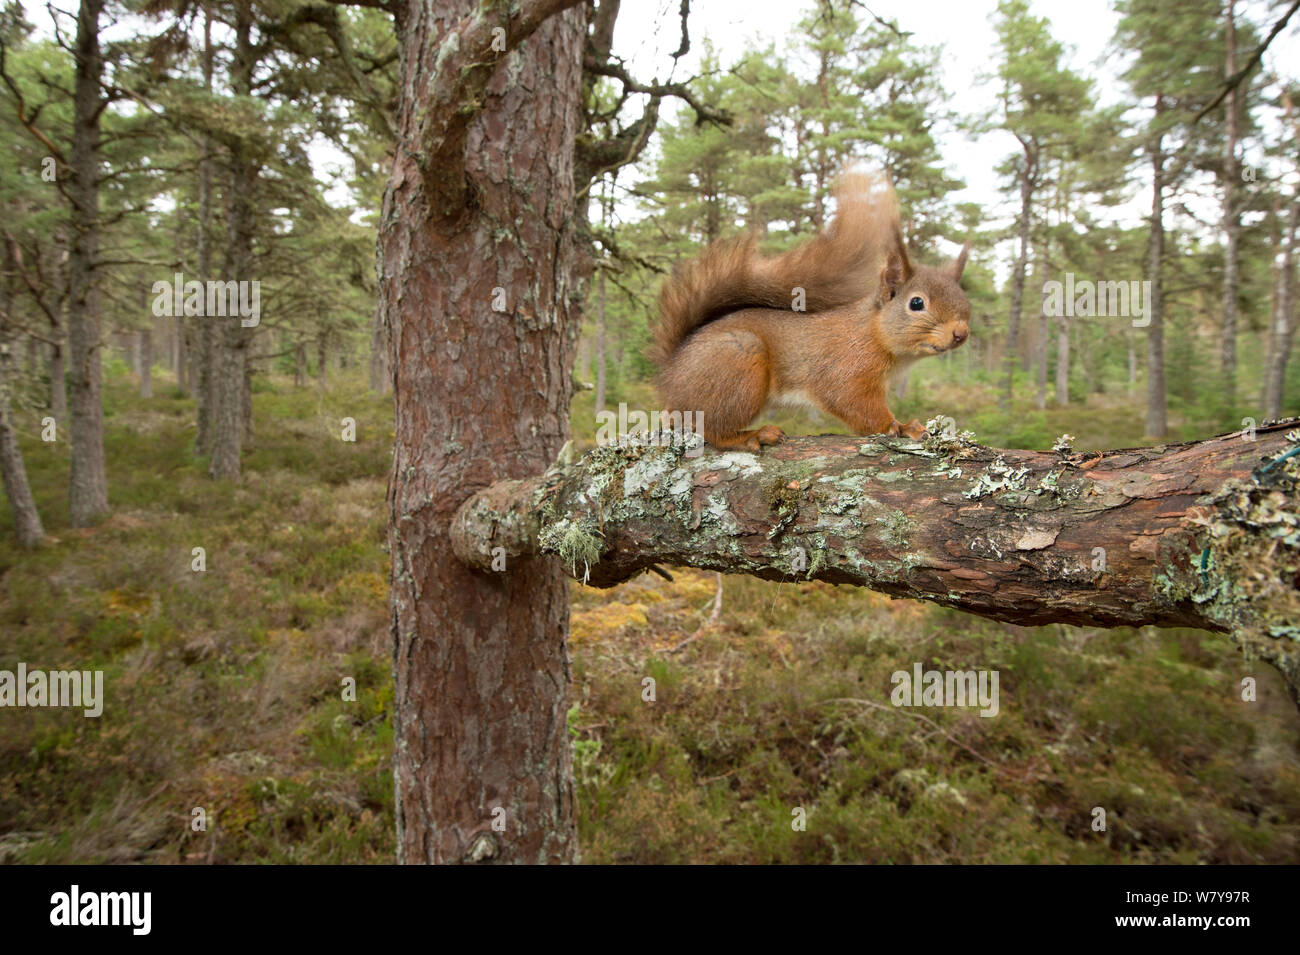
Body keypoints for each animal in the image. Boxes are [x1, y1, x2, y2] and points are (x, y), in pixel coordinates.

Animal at [655, 171, 972, 452]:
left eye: (964, 299)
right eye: (917, 303)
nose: (961, 333)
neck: (873, 332)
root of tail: (672, 375)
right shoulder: (846, 369)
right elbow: (855, 404)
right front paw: (902, 426)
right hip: (738, 363)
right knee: (711, 428)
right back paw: (750, 436)